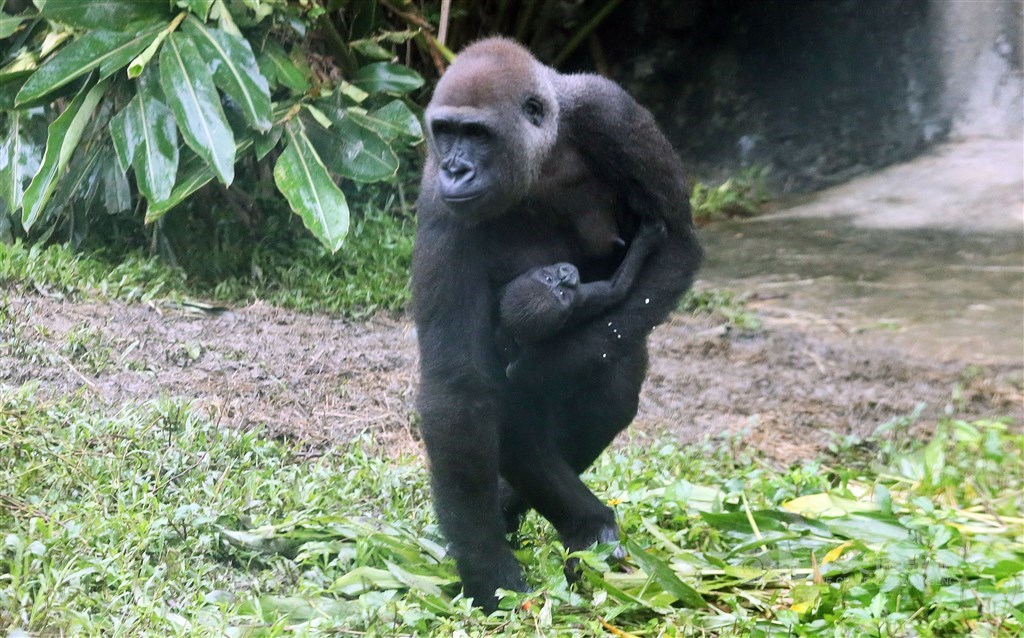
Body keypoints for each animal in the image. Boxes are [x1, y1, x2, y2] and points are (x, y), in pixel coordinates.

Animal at [499, 218, 667, 376]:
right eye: (562, 294)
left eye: (549, 279)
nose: (565, 277)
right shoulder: (580, 299)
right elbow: (616, 288)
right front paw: (646, 240)